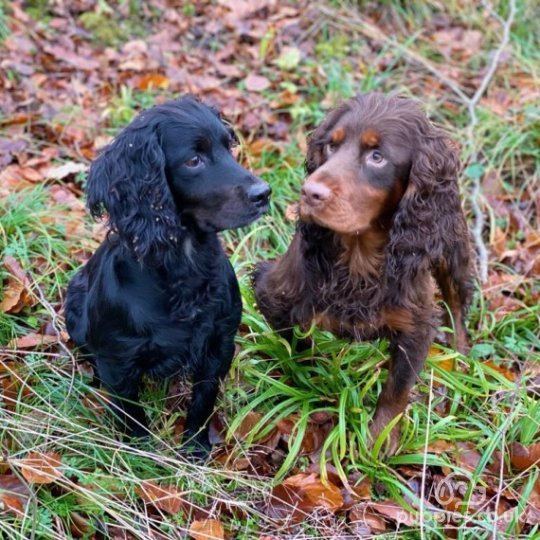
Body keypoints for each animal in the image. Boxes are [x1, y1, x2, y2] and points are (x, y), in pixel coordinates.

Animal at [66, 97, 272, 452]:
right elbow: (131, 410)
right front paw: (140, 451)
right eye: (193, 160)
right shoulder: (118, 356)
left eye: (229, 147)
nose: (264, 193)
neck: (182, 263)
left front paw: (195, 447)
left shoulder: (219, 343)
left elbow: (203, 399)